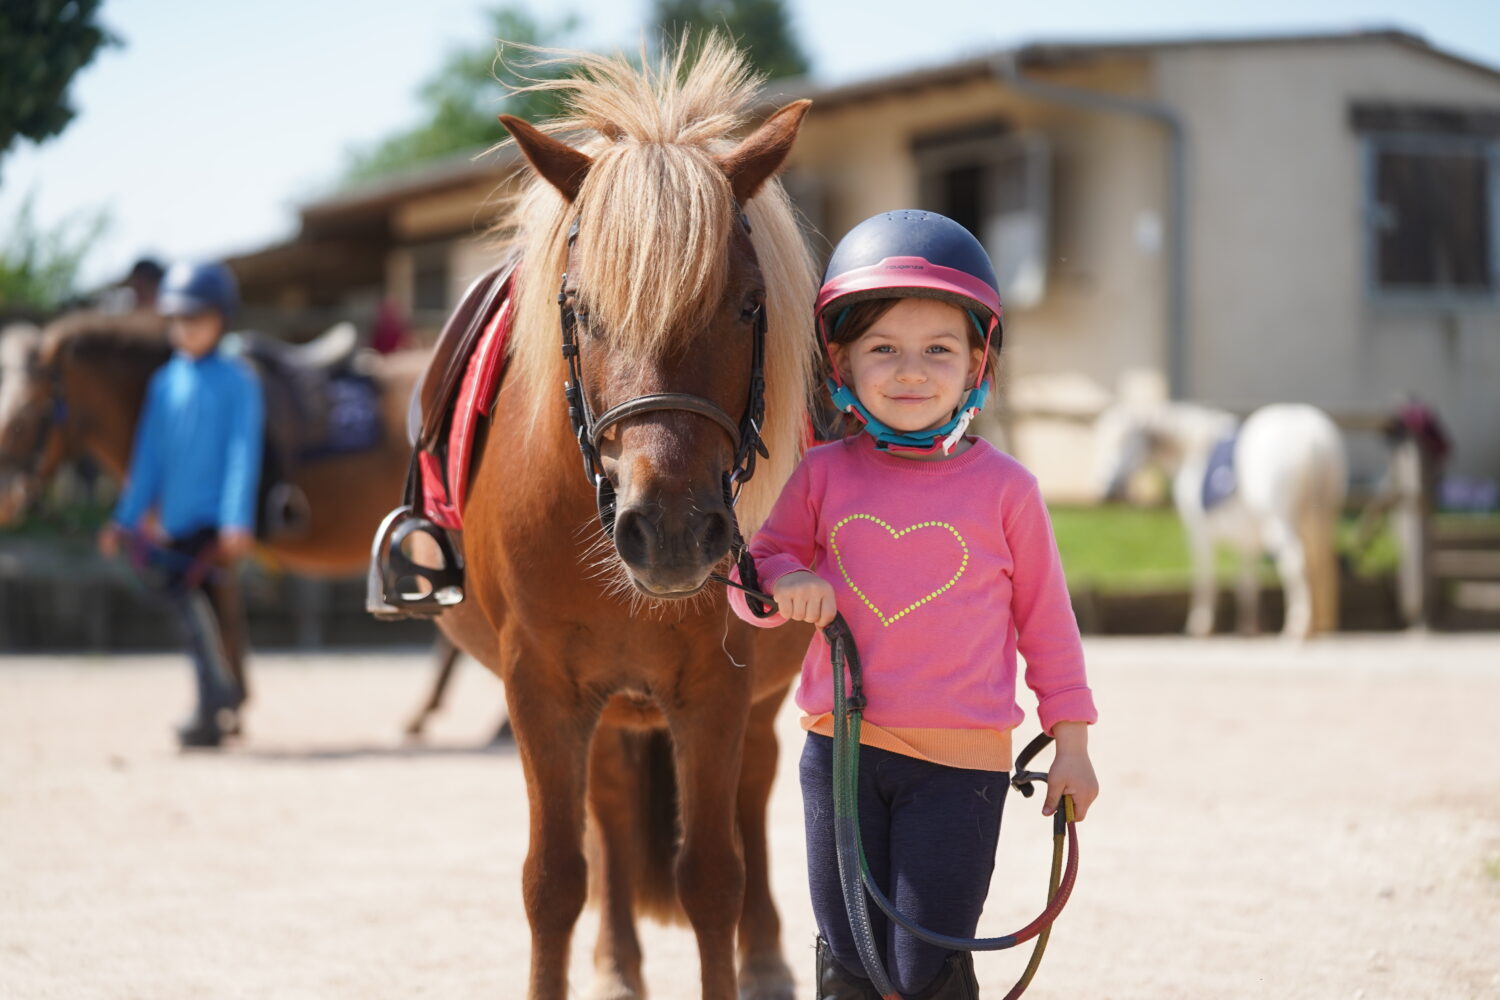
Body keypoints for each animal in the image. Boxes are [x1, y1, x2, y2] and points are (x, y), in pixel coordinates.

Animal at [0, 312, 473, 716]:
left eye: (28, 413)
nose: (5, 500)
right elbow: (210, 617)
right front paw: (226, 706)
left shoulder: (211, 538)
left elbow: (218, 618)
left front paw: (224, 711)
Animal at [426, 38, 817, 1000]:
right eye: (579, 309)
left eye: (748, 306)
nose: (670, 527)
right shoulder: (539, 685)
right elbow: (552, 880)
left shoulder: (717, 688)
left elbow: (713, 875)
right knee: (604, 812)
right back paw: (616, 967)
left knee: (752, 799)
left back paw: (765, 959)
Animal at [1091, 400, 1347, 639]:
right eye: (1102, 441)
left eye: (1125, 440)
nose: (1106, 490)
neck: (1193, 451)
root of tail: (1314, 439)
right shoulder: (1245, 540)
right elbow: (1246, 582)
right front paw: (1249, 628)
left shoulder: (1198, 531)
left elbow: (1206, 578)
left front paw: (1200, 626)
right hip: (1323, 515)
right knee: (1324, 564)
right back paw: (1320, 626)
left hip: (1279, 520)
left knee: (1295, 562)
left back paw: (1297, 628)